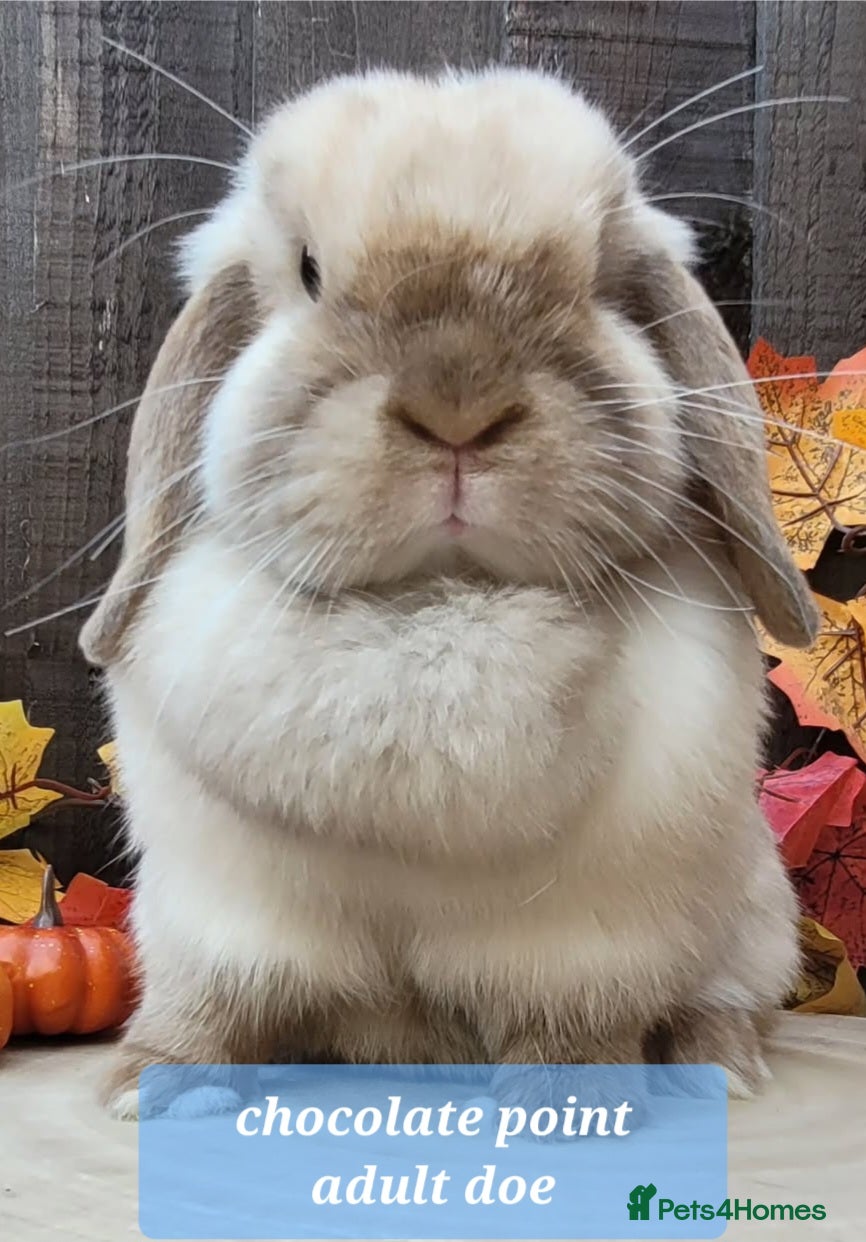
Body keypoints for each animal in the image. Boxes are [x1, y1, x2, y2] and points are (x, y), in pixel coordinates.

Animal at [80, 68, 819, 1120]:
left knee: (725, 1001)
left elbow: (573, 1028)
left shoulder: (586, 942)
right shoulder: (219, 919)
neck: (437, 606)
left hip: (757, 918)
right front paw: (150, 1090)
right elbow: (208, 1009)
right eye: (309, 272)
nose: (459, 408)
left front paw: (566, 1114)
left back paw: (715, 1062)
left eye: (601, 283)